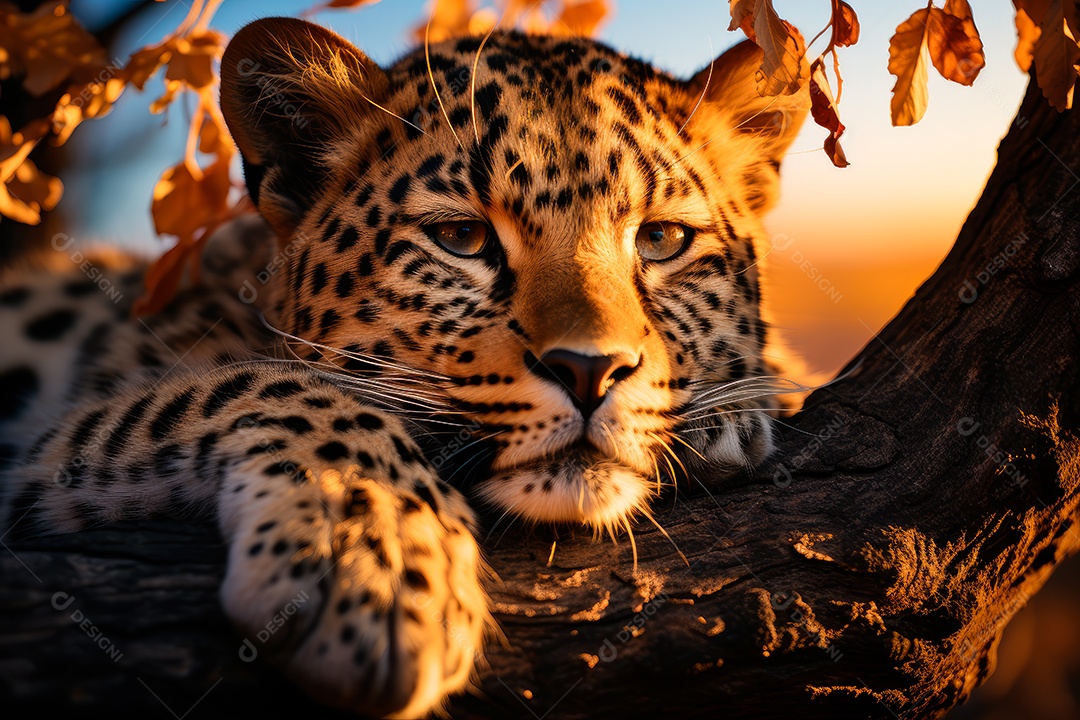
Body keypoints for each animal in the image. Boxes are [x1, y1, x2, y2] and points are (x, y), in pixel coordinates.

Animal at [0, 16, 809, 718]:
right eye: (462, 239)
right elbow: (266, 386)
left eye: (662, 240)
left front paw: (734, 410)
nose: (590, 371)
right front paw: (384, 562)